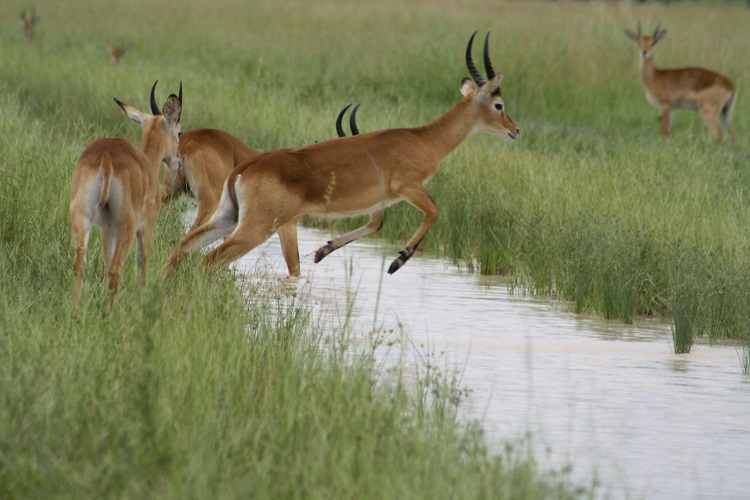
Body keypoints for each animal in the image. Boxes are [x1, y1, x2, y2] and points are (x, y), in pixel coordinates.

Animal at [71, 80, 184, 310]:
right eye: (179, 132)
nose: (179, 160)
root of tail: (106, 157)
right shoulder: (146, 227)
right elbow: (141, 272)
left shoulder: (107, 228)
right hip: (127, 228)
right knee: (115, 270)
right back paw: (109, 314)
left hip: (83, 217)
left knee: (81, 262)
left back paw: (76, 311)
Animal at [164, 31, 516, 280]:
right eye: (499, 104)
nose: (515, 131)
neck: (423, 140)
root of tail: (245, 167)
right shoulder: (408, 188)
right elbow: (433, 211)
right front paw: (397, 261)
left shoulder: (378, 203)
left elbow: (376, 225)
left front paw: (323, 250)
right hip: (256, 226)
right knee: (210, 259)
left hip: (229, 217)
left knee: (182, 247)